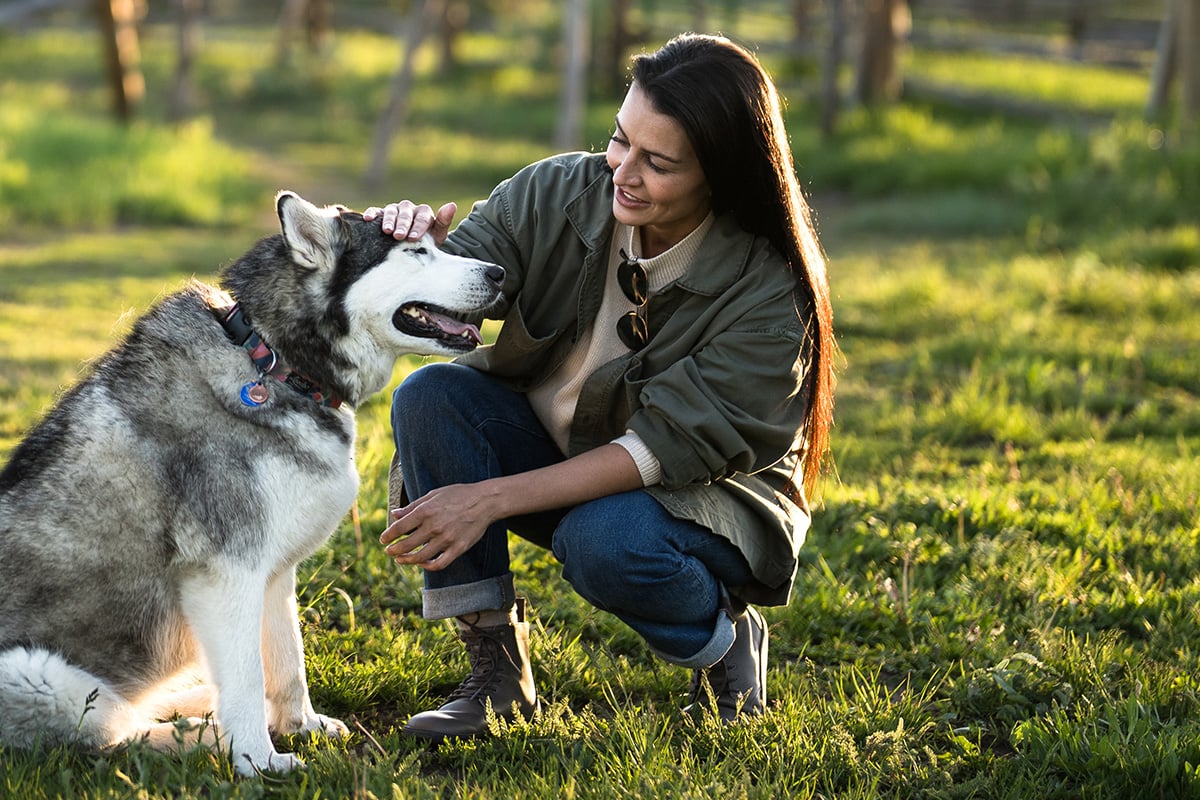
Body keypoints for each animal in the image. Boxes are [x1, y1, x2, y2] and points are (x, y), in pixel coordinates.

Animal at [0, 189, 504, 777]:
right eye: (417, 252)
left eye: (434, 243)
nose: (498, 272)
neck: (275, 361)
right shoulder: (227, 572)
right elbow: (244, 678)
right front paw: (258, 761)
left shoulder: (273, 571)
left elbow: (286, 662)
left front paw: (301, 726)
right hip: (38, 674)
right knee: (114, 735)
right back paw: (202, 735)